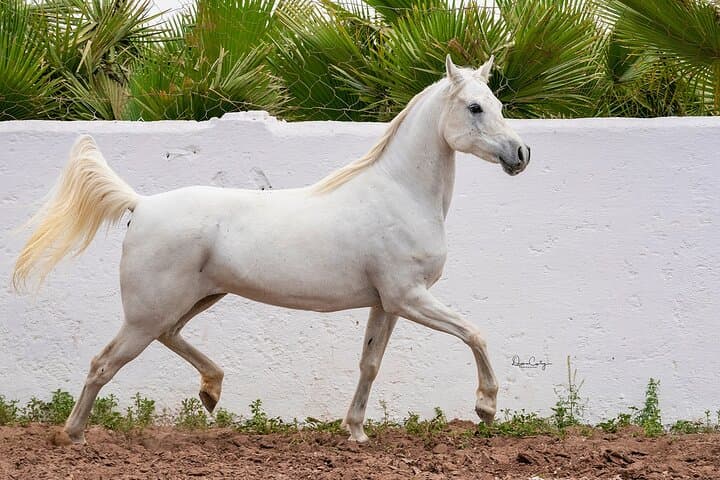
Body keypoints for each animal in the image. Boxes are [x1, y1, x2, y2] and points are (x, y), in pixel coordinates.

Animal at [13, 55, 530, 444]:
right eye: (475, 107)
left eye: (498, 103)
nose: (521, 155)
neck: (399, 193)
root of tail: (141, 204)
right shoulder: (410, 296)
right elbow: (475, 333)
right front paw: (486, 407)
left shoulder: (387, 303)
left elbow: (370, 364)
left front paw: (355, 431)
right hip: (149, 311)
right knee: (104, 363)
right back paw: (73, 435)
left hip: (192, 299)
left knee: (168, 336)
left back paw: (211, 390)